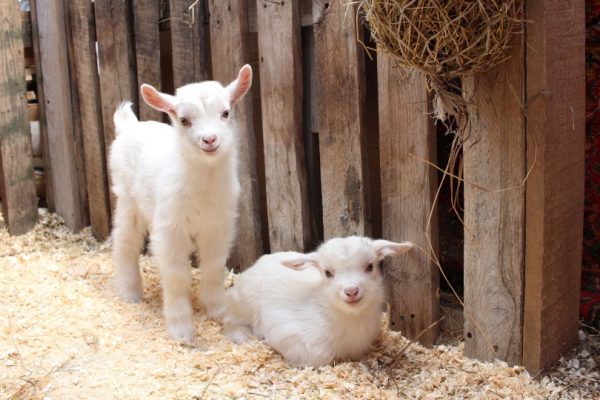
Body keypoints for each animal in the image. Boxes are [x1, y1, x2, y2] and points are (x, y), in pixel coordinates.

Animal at [109, 65, 253, 343]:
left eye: (225, 113)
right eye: (184, 120)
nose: (210, 139)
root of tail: (129, 126)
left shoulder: (218, 225)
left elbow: (214, 265)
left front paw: (217, 309)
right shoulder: (170, 228)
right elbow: (177, 275)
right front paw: (181, 330)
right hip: (127, 197)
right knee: (125, 240)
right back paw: (131, 293)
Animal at [223, 236, 414, 367]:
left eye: (370, 266)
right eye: (328, 272)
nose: (351, 291)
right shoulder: (289, 335)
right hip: (242, 305)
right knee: (231, 322)